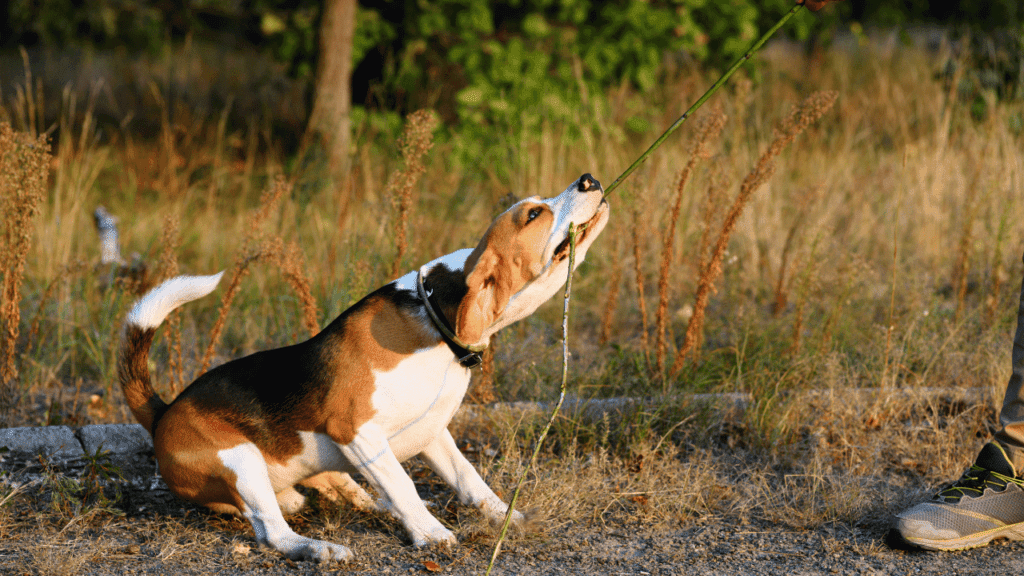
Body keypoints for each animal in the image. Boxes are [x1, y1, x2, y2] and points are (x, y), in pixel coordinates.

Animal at [119, 172, 610, 557]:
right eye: (532, 215)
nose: (589, 179)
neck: (432, 316)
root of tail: (161, 412)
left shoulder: (433, 430)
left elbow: (469, 480)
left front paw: (508, 519)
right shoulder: (356, 431)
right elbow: (403, 484)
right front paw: (432, 535)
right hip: (240, 460)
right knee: (273, 531)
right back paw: (320, 548)